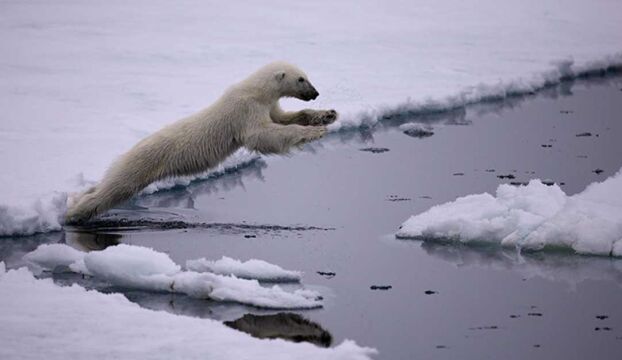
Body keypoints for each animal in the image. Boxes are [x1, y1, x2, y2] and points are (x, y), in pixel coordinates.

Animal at [66, 63, 338, 224]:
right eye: (301, 79)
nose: (315, 93)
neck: (255, 90)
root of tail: (124, 154)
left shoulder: (266, 106)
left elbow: (283, 118)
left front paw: (328, 115)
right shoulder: (244, 110)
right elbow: (263, 136)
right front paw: (317, 132)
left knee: (105, 183)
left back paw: (78, 196)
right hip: (141, 164)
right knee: (115, 188)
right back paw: (73, 214)